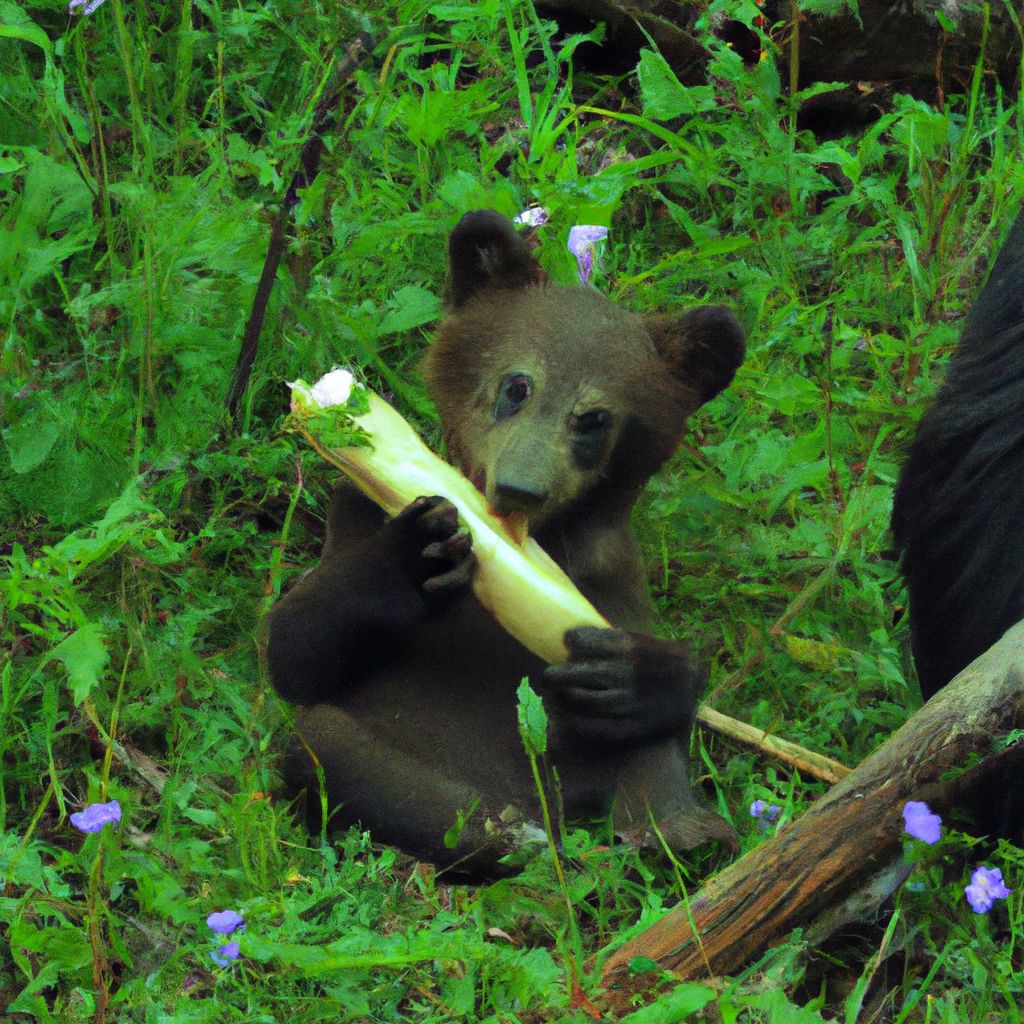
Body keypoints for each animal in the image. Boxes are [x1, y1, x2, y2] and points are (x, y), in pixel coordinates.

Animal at [264, 211, 745, 876]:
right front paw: (411, 556)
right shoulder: (353, 509)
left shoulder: (608, 570)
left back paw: (682, 836)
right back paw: (503, 838)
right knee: (325, 745)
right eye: (518, 386)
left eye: (593, 418)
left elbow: (660, 696)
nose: (520, 487)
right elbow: (295, 649)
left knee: (648, 758)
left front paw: (633, 671)